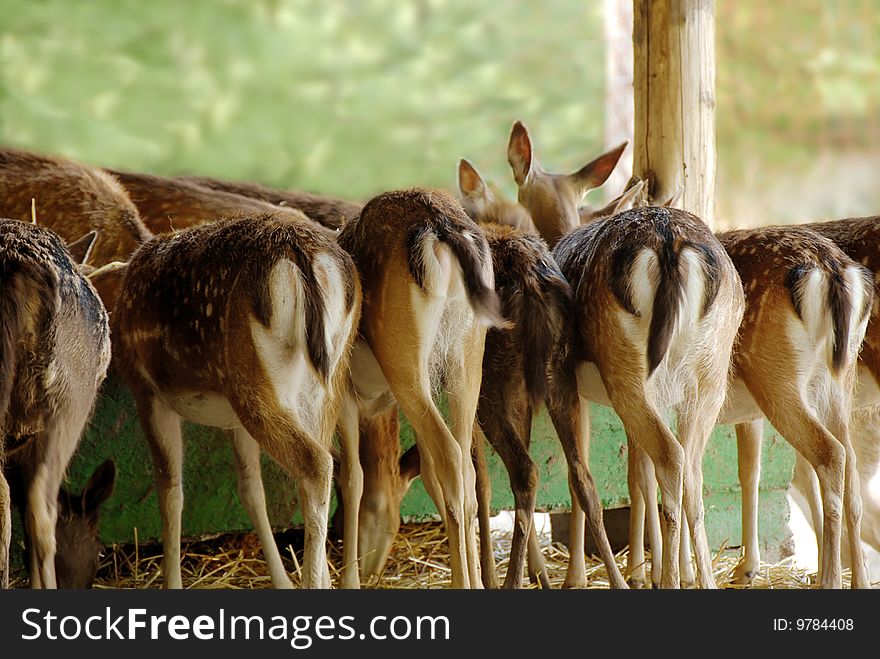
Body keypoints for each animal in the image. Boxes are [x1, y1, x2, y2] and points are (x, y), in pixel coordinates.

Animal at [113, 211, 360, 588]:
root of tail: (301, 255)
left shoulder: (148, 391)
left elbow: (170, 491)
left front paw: (172, 582)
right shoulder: (233, 421)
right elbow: (251, 489)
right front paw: (281, 581)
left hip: (255, 381)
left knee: (317, 463)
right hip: (327, 381)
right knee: (327, 465)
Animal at [336, 188, 506, 592]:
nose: (371, 568)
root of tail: (442, 228)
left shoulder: (343, 394)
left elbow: (352, 477)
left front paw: (348, 580)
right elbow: (426, 473)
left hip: (405, 362)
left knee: (450, 456)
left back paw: (461, 583)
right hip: (466, 359)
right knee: (464, 465)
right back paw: (475, 581)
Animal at [506, 121, 744, 592]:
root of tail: (669, 244)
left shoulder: (570, 385)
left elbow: (581, 477)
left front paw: (580, 578)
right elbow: (638, 479)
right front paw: (642, 570)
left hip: (626, 373)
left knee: (671, 457)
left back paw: (669, 581)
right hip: (707, 375)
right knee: (691, 468)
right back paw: (700, 579)